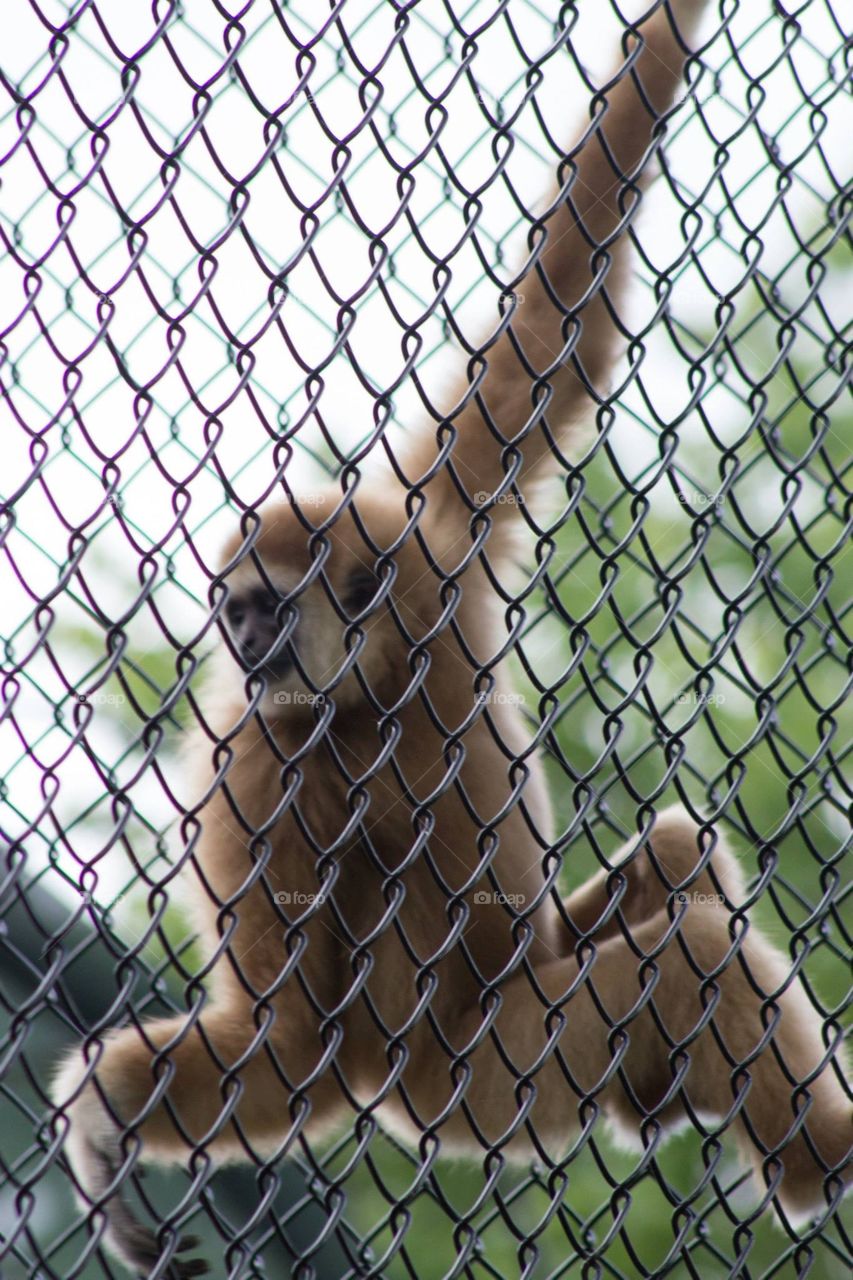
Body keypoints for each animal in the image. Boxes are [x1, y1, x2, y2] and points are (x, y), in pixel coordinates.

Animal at [52, 2, 851, 1275]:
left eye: (263, 603)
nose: (241, 639)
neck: (383, 681)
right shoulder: (253, 763)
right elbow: (289, 1041)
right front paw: (105, 1110)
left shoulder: (437, 540)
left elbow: (553, 330)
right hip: (497, 1072)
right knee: (686, 950)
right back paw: (820, 1155)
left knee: (680, 857)